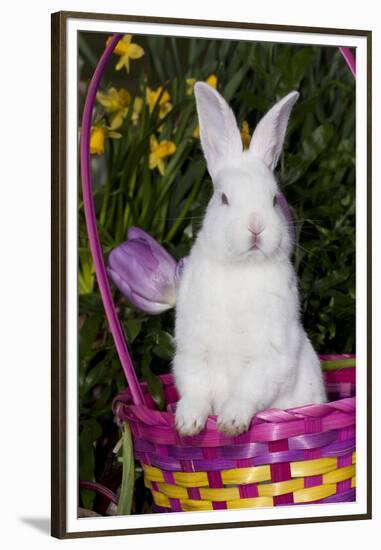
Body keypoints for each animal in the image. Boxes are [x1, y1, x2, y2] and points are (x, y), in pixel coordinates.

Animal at [174, 82, 326, 438]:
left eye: (273, 199)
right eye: (224, 198)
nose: (256, 226)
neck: (241, 268)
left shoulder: (270, 354)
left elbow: (247, 390)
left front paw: (230, 423)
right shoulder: (192, 351)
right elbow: (195, 388)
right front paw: (187, 424)